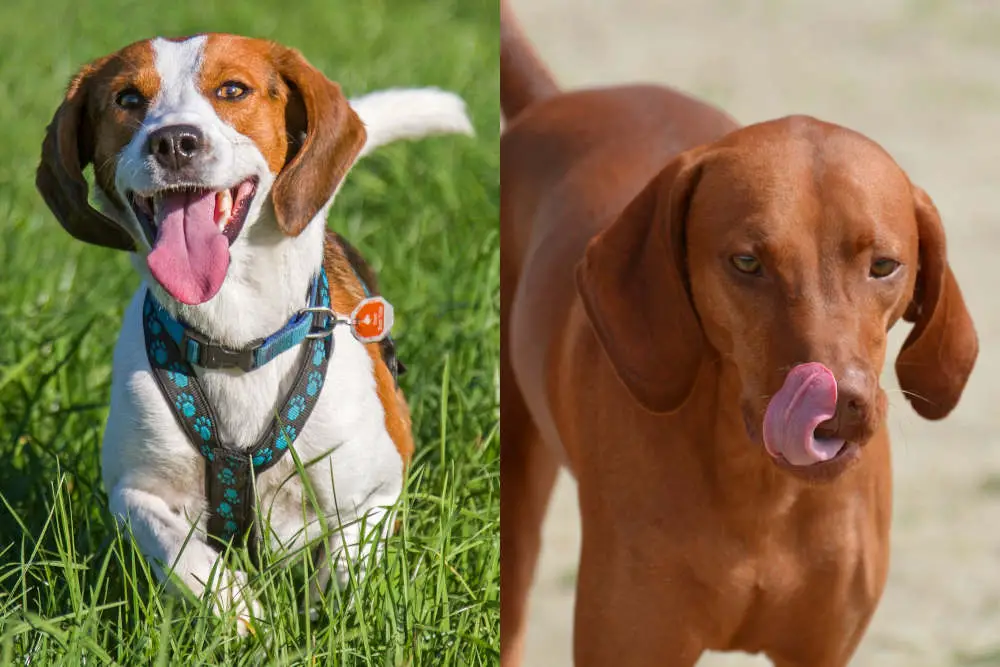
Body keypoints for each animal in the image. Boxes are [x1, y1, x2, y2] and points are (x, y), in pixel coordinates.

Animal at [37, 34, 474, 636]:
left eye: (232, 90)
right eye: (127, 98)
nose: (174, 141)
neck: (235, 339)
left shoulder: (380, 486)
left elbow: (344, 564)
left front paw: (321, 623)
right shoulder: (133, 489)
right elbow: (179, 550)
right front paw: (235, 609)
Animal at [500, 2, 976, 664]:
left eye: (884, 265)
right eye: (747, 262)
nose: (839, 406)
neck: (764, 495)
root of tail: (554, 101)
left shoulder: (821, 649)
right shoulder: (630, 640)